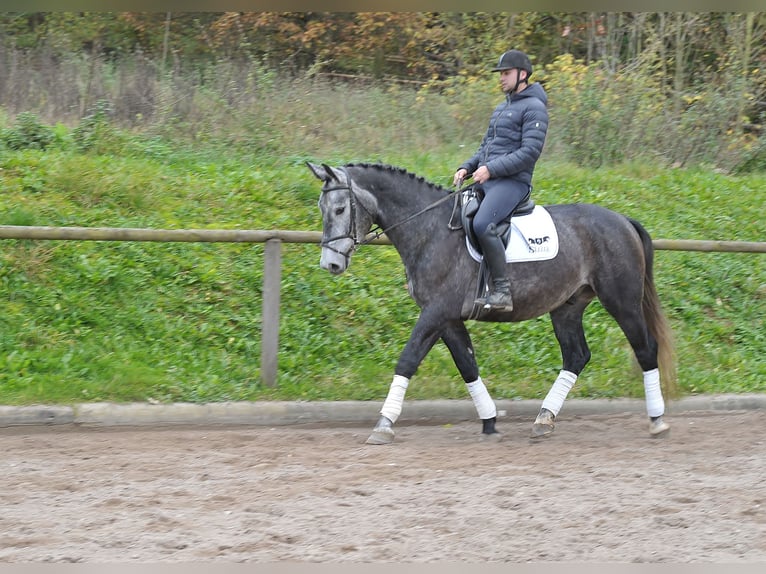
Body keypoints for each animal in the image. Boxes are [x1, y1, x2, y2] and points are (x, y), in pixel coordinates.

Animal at [306, 162, 680, 446]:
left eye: (340, 208)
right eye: (323, 210)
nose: (331, 264)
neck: (429, 230)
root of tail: (623, 220)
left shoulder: (435, 312)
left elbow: (407, 360)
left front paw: (384, 424)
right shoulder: (448, 318)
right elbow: (467, 365)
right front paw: (489, 421)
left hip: (622, 301)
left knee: (646, 349)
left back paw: (657, 420)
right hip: (567, 307)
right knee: (576, 356)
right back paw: (544, 419)